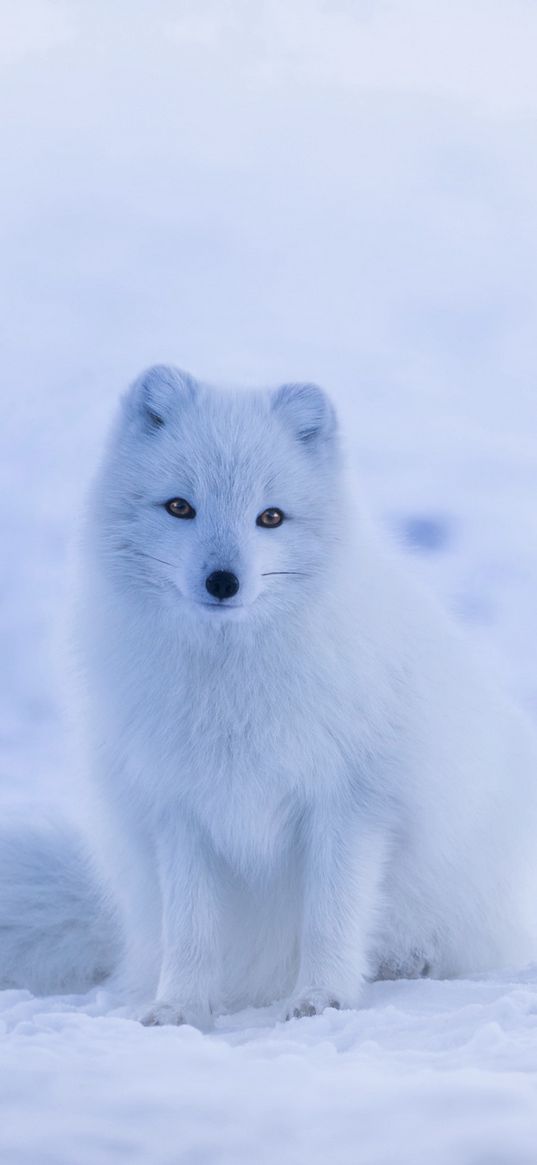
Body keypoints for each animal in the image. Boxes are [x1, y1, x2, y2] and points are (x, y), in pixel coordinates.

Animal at [3, 361, 535, 1020]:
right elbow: (191, 930)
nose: (223, 581)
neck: (231, 686)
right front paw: (180, 1009)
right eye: (179, 506)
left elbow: (331, 917)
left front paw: (322, 998)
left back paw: (407, 962)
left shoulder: (349, 804)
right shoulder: (178, 810)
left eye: (271, 517)